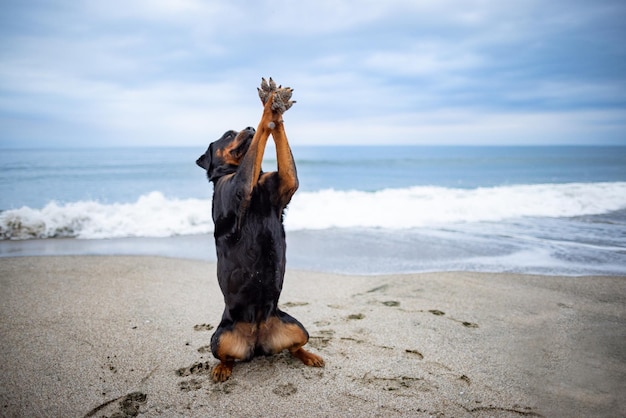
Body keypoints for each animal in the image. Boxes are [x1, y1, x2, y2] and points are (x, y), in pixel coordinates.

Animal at [196, 78, 324, 382]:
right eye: (229, 134)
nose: (249, 128)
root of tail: (257, 338)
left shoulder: (285, 183)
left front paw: (277, 105)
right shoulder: (240, 185)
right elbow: (260, 139)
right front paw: (269, 108)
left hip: (296, 325)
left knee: (295, 346)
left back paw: (309, 356)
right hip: (219, 336)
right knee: (226, 355)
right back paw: (222, 368)